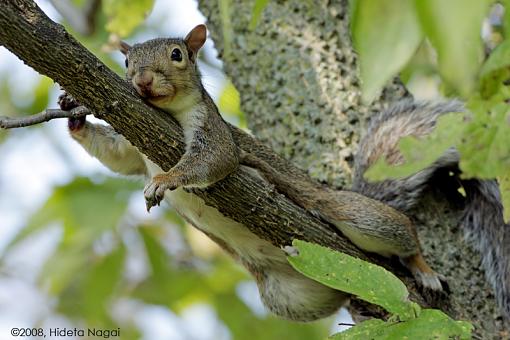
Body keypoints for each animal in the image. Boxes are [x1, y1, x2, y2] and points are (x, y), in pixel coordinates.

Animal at [58, 24, 506, 322]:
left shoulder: (214, 131)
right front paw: (73, 113)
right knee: (335, 296)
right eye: (127, 60)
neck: (165, 112)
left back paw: (424, 272)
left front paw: (167, 180)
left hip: (357, 217)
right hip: (288, 295)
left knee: (402, 233)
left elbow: (213, 161)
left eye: (177, 54)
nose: (142, 80)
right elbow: (115, 156)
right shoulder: (133, 147)